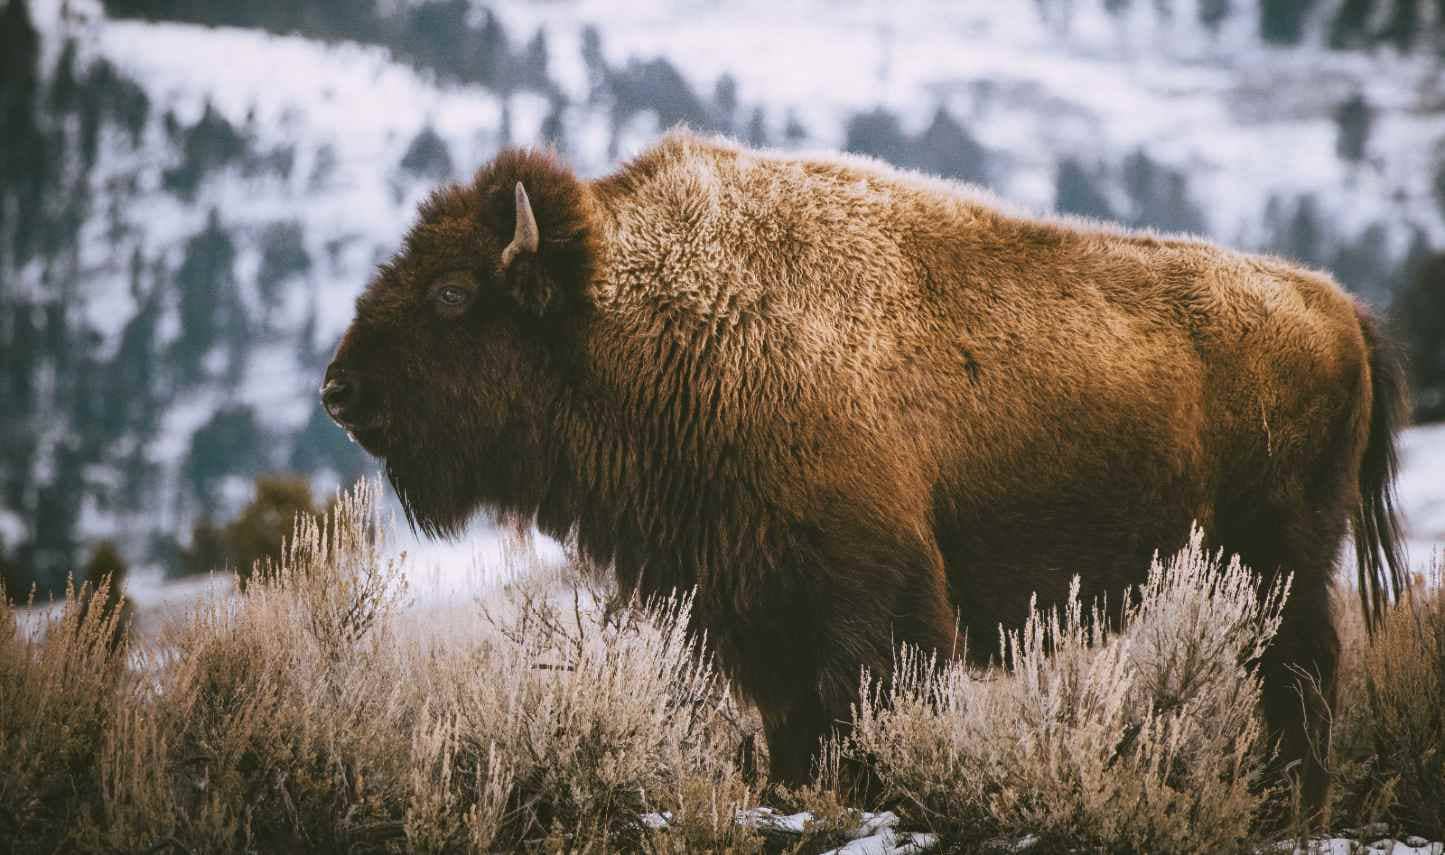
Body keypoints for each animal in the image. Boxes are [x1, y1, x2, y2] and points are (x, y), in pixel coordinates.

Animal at [324, 130, 1406, 819]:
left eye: (452, 291)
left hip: (1278, 563)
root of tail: (1335, 304)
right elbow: (793, 721)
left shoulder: (864, 595)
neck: (643, 312)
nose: (339, 390)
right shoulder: (746, 606)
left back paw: (1284, 800)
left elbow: (861, 700)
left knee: (1296, 674)